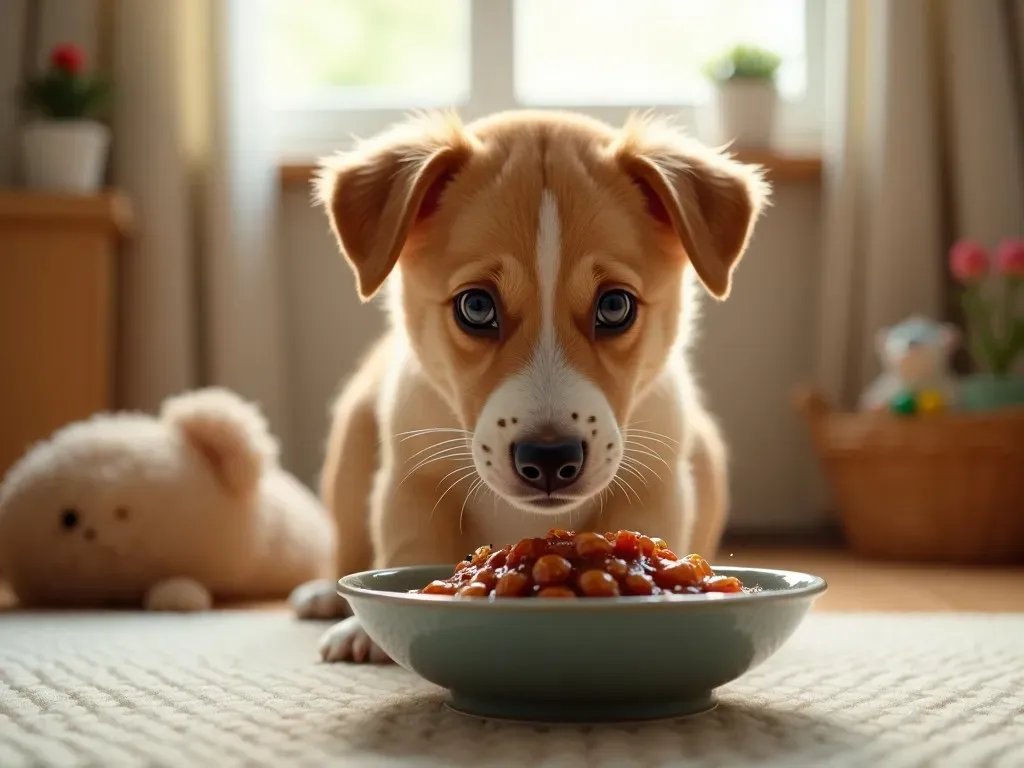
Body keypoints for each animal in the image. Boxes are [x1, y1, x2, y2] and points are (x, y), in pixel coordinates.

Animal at [288, 111, 770, 663]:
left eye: (615, 306)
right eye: (476, 306)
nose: (549, 459)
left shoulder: (657, 484)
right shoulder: (413, 480)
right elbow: (410, 549)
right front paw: (369, 630)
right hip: (349, 446)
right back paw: (326, 596)